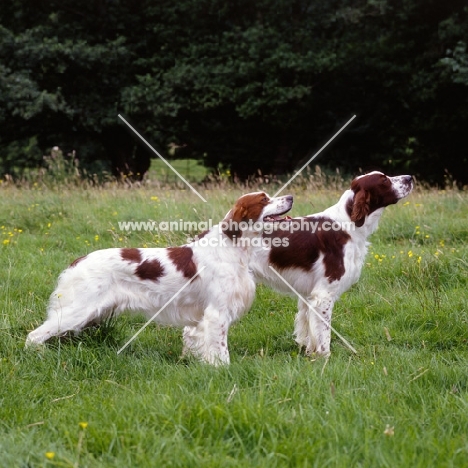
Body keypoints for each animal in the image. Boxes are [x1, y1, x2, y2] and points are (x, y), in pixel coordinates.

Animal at [25, 192, 292, 364]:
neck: (232, 245)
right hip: (76, 311)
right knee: (33, 336)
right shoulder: (217, 313)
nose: (290, 197)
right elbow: (221, 352)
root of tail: (78, 261)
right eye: (264, 199)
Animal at [249, 170, 414, 356]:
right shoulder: (324, 294)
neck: (348, 223)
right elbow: (324, 333)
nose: (409, 178)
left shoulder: (308, 295)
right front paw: (325, 357)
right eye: (384, 180)